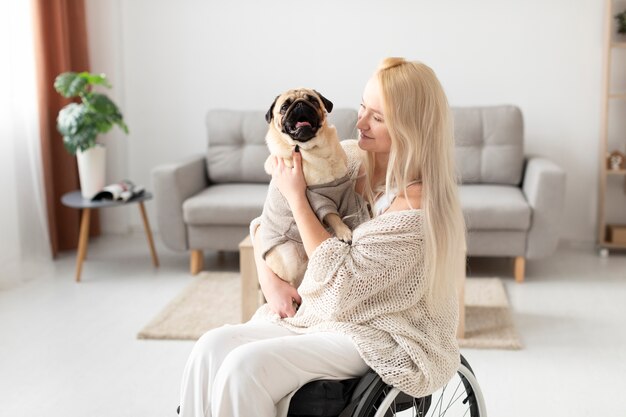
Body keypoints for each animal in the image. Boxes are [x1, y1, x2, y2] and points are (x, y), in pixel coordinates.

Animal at [256, 88, 368, 290]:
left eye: (313, 101)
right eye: (284, 107)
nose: (300, 104)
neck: (316, 151)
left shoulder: (345, 191)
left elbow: (352, 210)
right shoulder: (315, 197)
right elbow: (332, 216)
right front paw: (343, 232)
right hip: (289, 260)